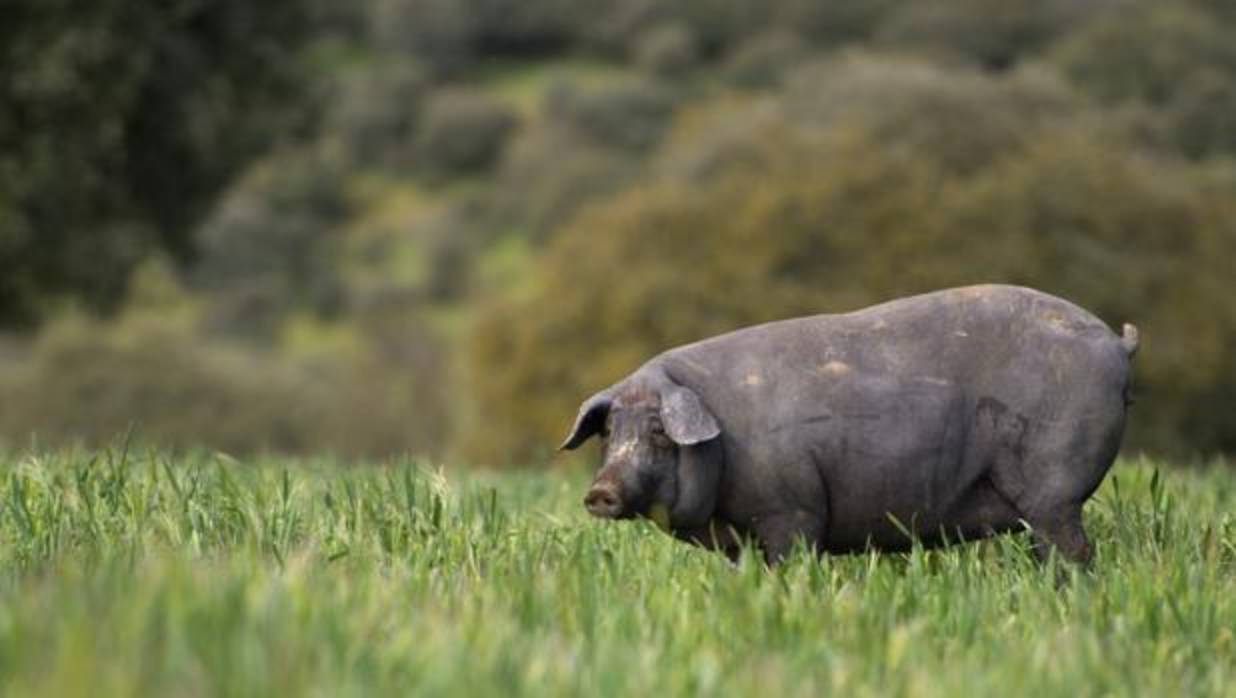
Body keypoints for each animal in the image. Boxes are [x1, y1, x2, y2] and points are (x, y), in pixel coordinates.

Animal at [561, 285, 1137, 563]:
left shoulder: (792, 510)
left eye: (660, 430)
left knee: (1070, 547)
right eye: (609, 432)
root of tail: (1116, 342)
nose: (600, 492)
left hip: (1055, 485)